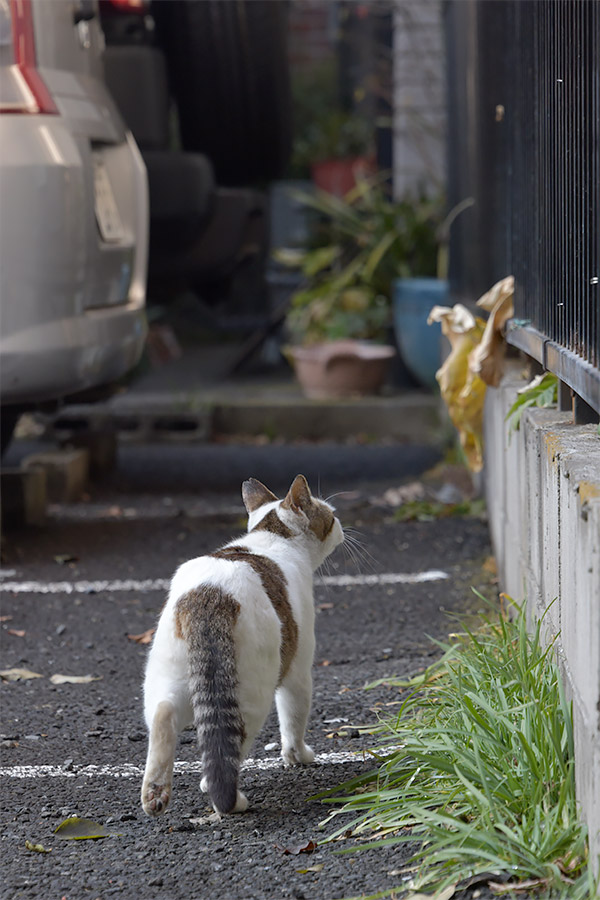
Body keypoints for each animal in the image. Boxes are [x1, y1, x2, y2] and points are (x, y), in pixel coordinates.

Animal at [138, 474, 340, 820]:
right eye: (330, 515)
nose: (340, 523)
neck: (272, 536)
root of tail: (210, 595)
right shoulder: (298, 669)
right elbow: (294, 718)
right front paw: (298, 756)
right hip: (250, 691)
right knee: (228, 746)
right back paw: (229, 799)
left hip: (168, 674)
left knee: (163, 714)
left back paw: (155, 794)